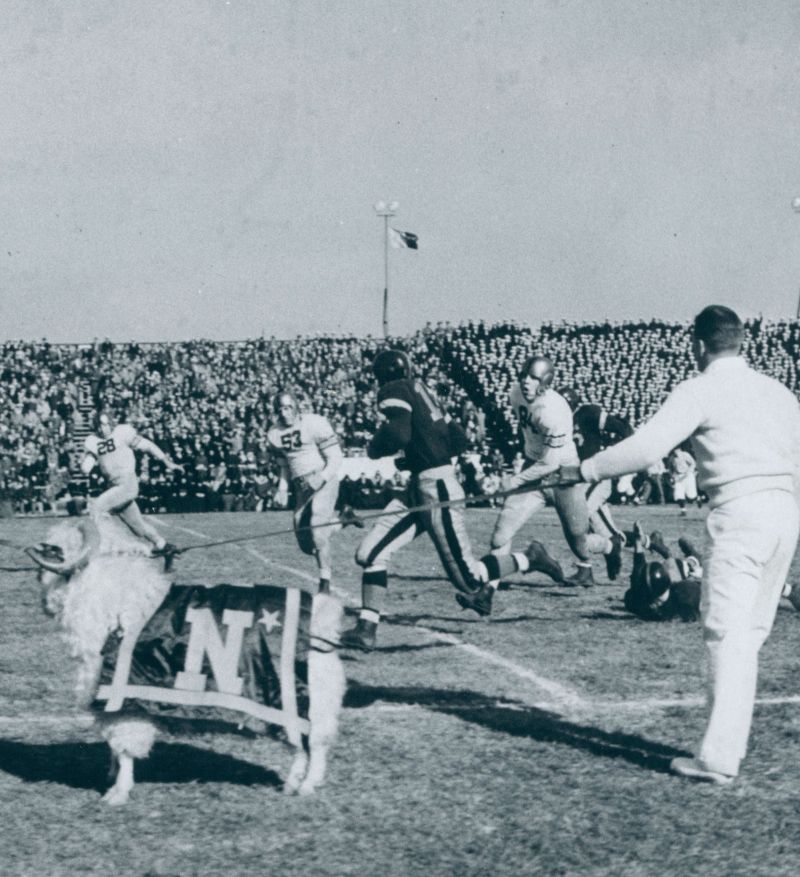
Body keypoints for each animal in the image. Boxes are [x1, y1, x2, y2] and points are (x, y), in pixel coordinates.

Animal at [28, 516, 344, 804]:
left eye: (54, 548)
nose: (35, 556)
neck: (116, 597)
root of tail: (322, 615)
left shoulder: (123, 699)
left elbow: (124, 747)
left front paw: (118, 792)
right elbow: (115, 749)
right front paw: (111, 776)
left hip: (306, 700)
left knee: (314, 744)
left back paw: (305, 786)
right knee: (305, 744)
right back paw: (296, 784)